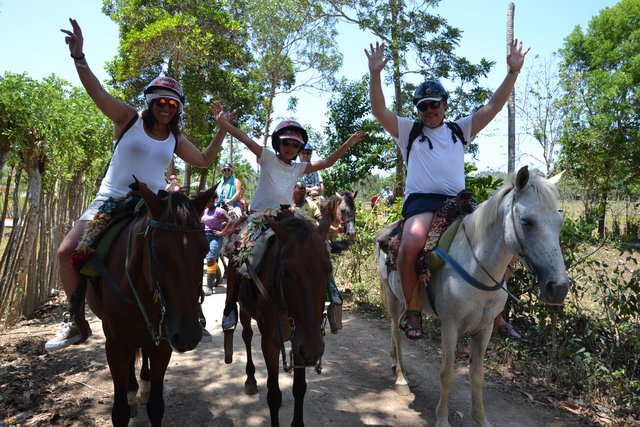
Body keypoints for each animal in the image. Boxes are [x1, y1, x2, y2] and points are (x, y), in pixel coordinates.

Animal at [79, 182, 214, 426]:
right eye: (158, 251)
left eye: (205, 250)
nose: (188, 336)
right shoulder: (115, 345)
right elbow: (120, 411)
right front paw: (129, 396)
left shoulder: (163, 344)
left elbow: (156, 406)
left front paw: (147, 388)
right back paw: (132, 388)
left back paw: (143, 382)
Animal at [230, 214, 332, 427]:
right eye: (285, 271)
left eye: (329, 269)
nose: (314, 349)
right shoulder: (271, 342)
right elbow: (274, 394)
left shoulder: (300, 342)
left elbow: (300, 388)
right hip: (243, 308)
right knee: (247, 336)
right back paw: (250, 379)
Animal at [378, 168, 568, 427]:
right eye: (527, 222)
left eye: (560, 223)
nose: (558, 287)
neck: (477, 265)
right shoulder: (450, 325)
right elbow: (447, 375)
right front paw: (442, 419)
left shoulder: (484, 329)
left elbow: (477, 376)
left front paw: (481, 419)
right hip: (391, 294)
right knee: (397, 334)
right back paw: (401, 379)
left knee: (394, 327)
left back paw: (396, 363)